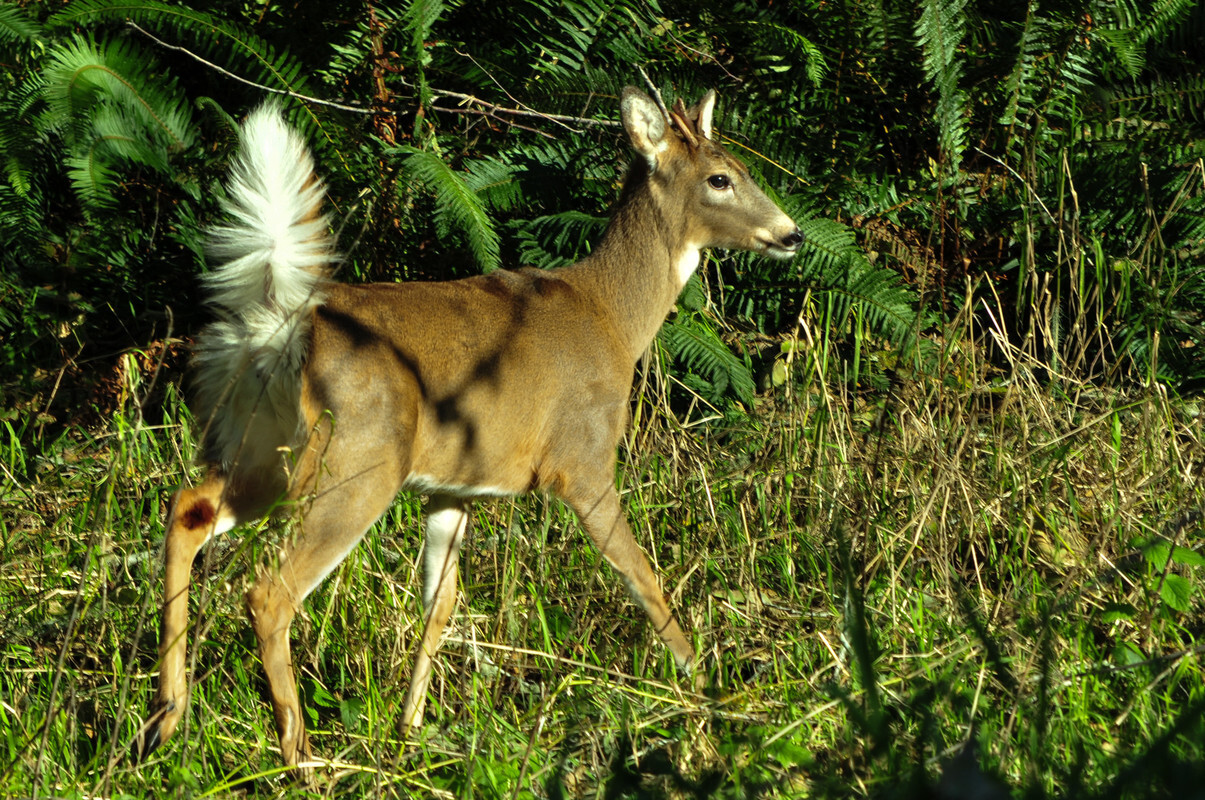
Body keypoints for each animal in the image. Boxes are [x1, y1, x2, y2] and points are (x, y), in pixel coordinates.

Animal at [134, 86, 802, 770]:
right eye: (720, 178)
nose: (791, 233)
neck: (613, 318)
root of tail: (284, 325)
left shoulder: (452, 486)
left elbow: (441, 603)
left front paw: (409, 732)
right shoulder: (581, 460)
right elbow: (641, 575)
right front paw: (707, 691)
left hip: (259, 446)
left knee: (188, 508)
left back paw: (166, 719)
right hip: (353, 461)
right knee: (269, 591)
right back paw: (300, 756)